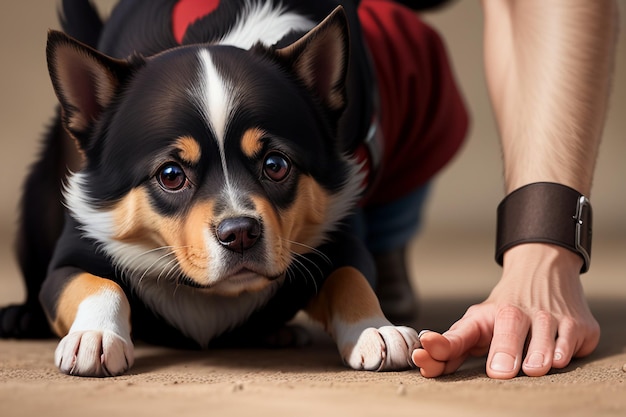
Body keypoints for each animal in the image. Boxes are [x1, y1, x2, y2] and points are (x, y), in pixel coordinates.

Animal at [0, 0, 434, 376]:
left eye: (276, 165)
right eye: (171, 175)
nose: (240, 233)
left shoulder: (339, 233)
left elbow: (350, 275)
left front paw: (375, 329)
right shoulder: (76, 250)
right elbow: (96, 282)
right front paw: (94, 336)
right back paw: (21, 316)